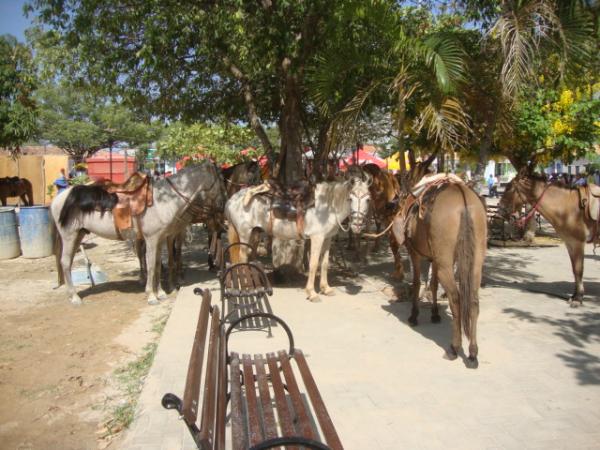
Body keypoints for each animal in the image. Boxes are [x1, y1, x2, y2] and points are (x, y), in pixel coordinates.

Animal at [50, 162, 225, 306]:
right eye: (221, 180)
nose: (223, 205)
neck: (163, 200)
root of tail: (59, 198)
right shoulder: (152, 239)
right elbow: (152, 266)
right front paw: (152, 296)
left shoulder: (160, 239)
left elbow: (157, 265)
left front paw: (160, 293)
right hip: (69, 236)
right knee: (65, 262)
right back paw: (74, 298)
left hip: (78, 235)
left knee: (68, 262)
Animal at [227, 176, 372, 302]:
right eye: (350, 198)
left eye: (368, 199)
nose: (357, 225)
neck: (327, 207)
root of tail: (233, 199)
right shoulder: (317, 238)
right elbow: (314, 264)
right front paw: (312, 293)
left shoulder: (327, 238)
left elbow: (324, 264)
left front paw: (326, 289)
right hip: (244, 233)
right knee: (242, 256)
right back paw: (247, 286)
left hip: (255, 233)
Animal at [394, 174, 488, 368]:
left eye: (399, 199)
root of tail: (464, 200)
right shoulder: (435, 259)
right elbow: (433, 284)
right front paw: (435, 313)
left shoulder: (415, 254)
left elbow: (417, 283)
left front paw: (414, 316)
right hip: (474, 264)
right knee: (473, 301)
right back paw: (473, 353)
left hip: (446, 265)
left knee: (456, 299)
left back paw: (454, 348)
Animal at [496, 168, 600, 306]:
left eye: (509, 188)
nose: (499, 211)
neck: (567, 208)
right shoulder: (570, 243)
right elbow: (574, 270)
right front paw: (574, 295)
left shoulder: (578, 243)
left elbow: (579, 269)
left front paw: (578, 299)